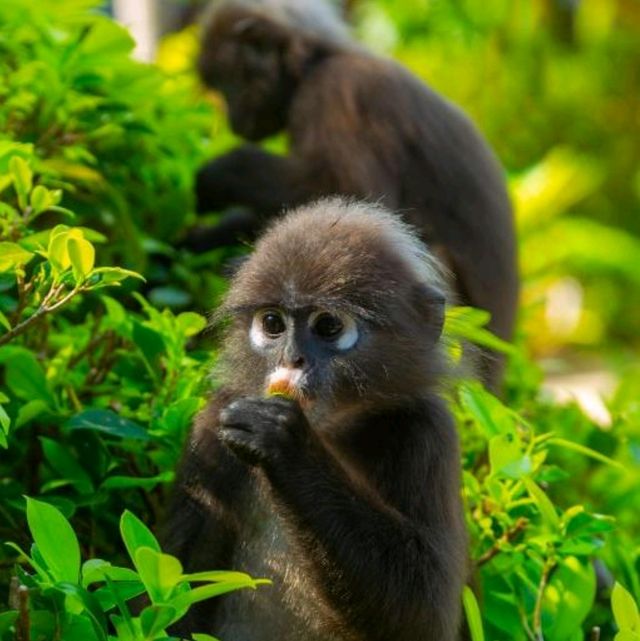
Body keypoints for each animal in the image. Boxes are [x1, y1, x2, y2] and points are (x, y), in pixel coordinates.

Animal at [165, 198, 464, 636]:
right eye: (272, 323)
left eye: (328, 326)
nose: (292, 358)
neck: (332, 430)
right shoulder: (213, 424)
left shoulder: (427, 431)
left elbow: (425, 611)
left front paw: (284, 443)